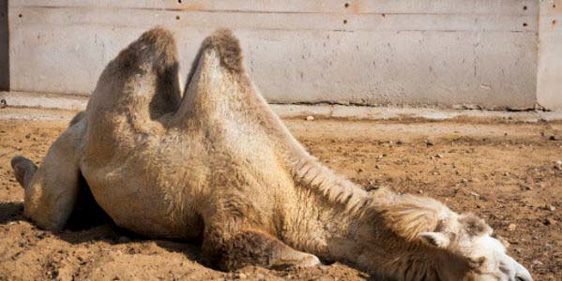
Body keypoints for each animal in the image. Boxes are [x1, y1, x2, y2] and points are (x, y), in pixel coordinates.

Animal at [10, 26, 532, 280]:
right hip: (63, 164)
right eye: (476, 263)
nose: (524, 278)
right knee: (45, 209)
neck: (288, 189)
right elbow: (295, 259)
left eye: (504, 248)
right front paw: (308, 261)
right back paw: (21, 167)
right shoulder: (228, 216)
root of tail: (78, 118)